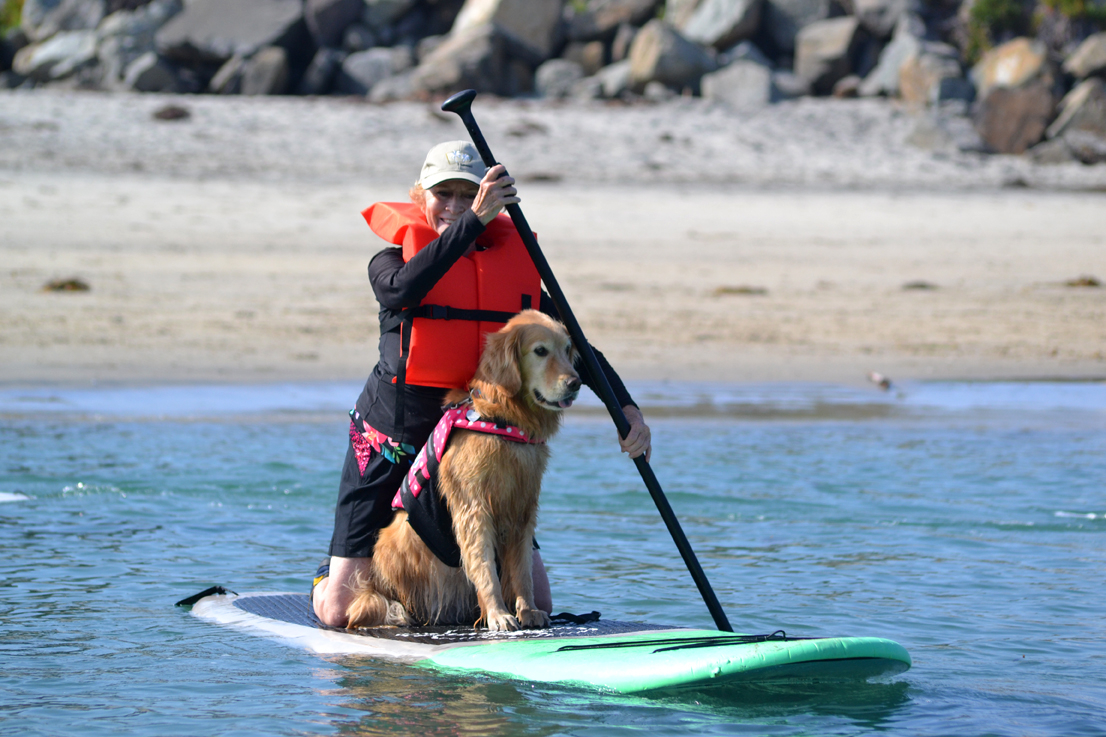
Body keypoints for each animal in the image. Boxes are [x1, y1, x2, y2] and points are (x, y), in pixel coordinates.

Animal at [347, 309, 583, 632]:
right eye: (540, 351)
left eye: (567, 349)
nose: (576, 382)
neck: (503, 420)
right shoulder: (474, 508)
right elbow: (485, 567)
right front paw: (498, 614)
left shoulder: (522, 509)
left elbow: (522, 569)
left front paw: (528, 610)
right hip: (393, 543)